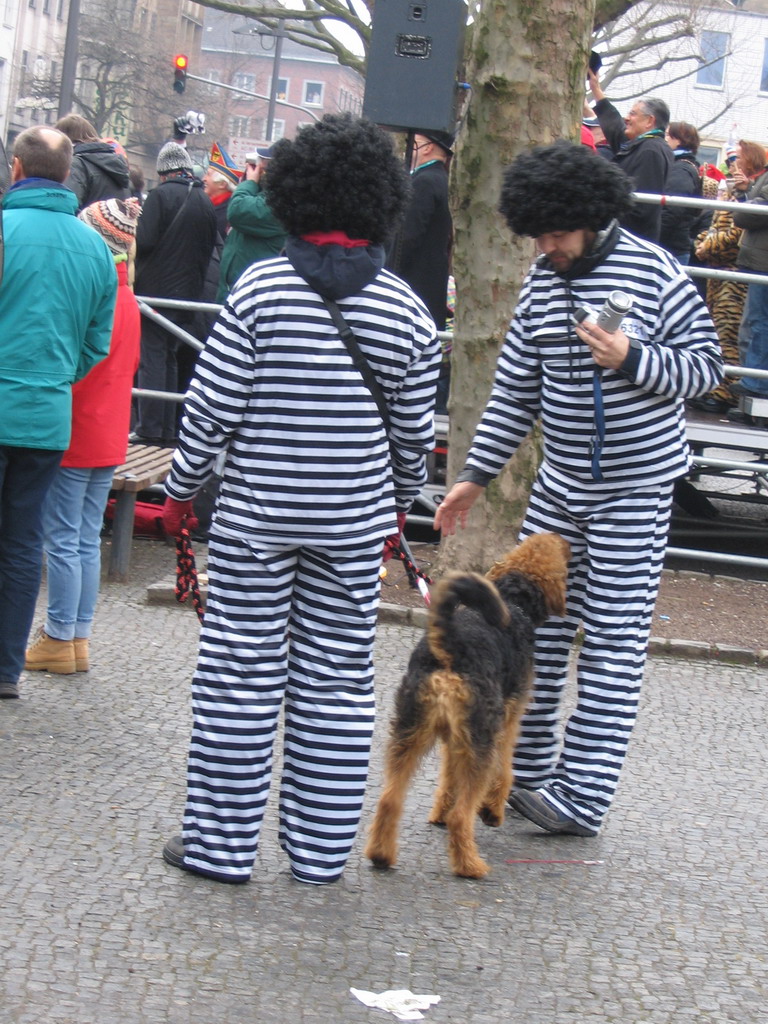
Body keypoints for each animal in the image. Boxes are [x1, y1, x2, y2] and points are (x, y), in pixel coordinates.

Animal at [364, 532, 573, 876]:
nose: (563, 538)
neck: (515, 604)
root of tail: (451, 650)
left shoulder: (454, 739)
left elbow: (449, 777)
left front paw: (439, 812)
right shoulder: (508, 720)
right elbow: (504, 770)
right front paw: (492, 809)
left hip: (410, 729)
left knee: (389, 799)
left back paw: (381, 855)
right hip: (479, 736)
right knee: (462, 813)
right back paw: (470, 865)